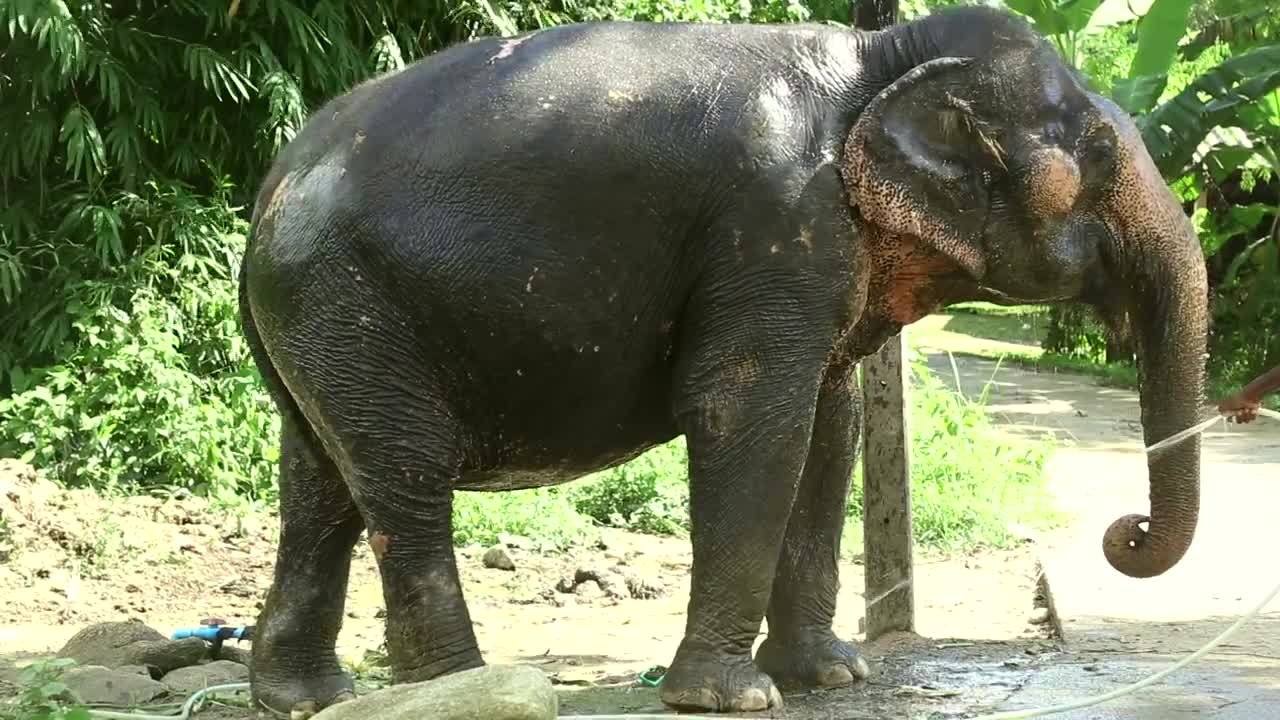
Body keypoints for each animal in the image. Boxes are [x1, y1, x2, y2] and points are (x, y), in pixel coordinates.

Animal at [239, 5, 1207, 716]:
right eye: (1100, 154)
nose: (1125, 532)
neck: (877, 61)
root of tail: (270, 186)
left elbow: (829, 426)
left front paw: (832, 677)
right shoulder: (773, 220)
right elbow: (748, 414)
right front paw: (734, 698)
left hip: (322, 324)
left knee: (322, 481)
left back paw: (302, 698)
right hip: (348, 297)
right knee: (405, 474)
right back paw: (459, 689)